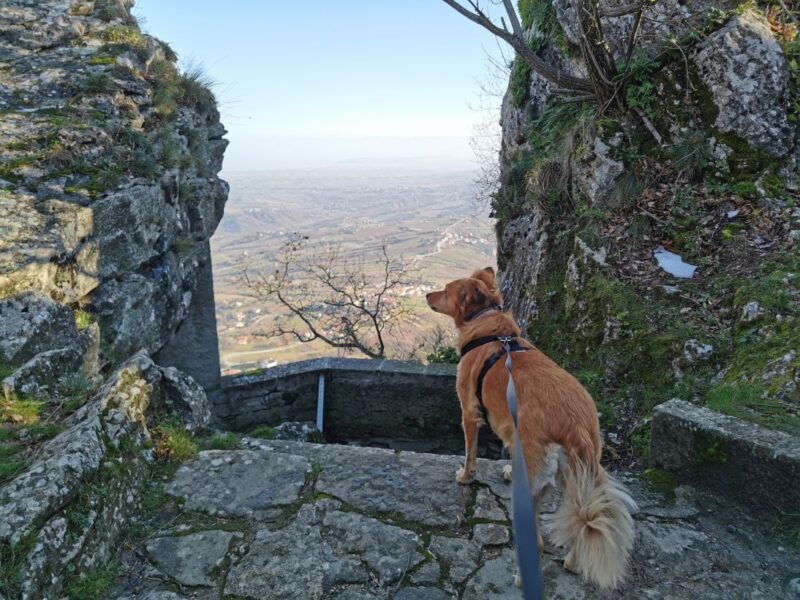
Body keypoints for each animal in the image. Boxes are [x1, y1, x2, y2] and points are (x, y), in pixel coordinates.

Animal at [424, 270, 636, 588]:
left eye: (446, 291)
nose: (427, 295)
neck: (486, 322)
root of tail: (575, 425)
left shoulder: (469, 413)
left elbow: (470, 452)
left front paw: (465, 476)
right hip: (580, 481)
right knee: (580, 521)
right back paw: (572, 562)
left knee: (536, 542)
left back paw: (522, 578)